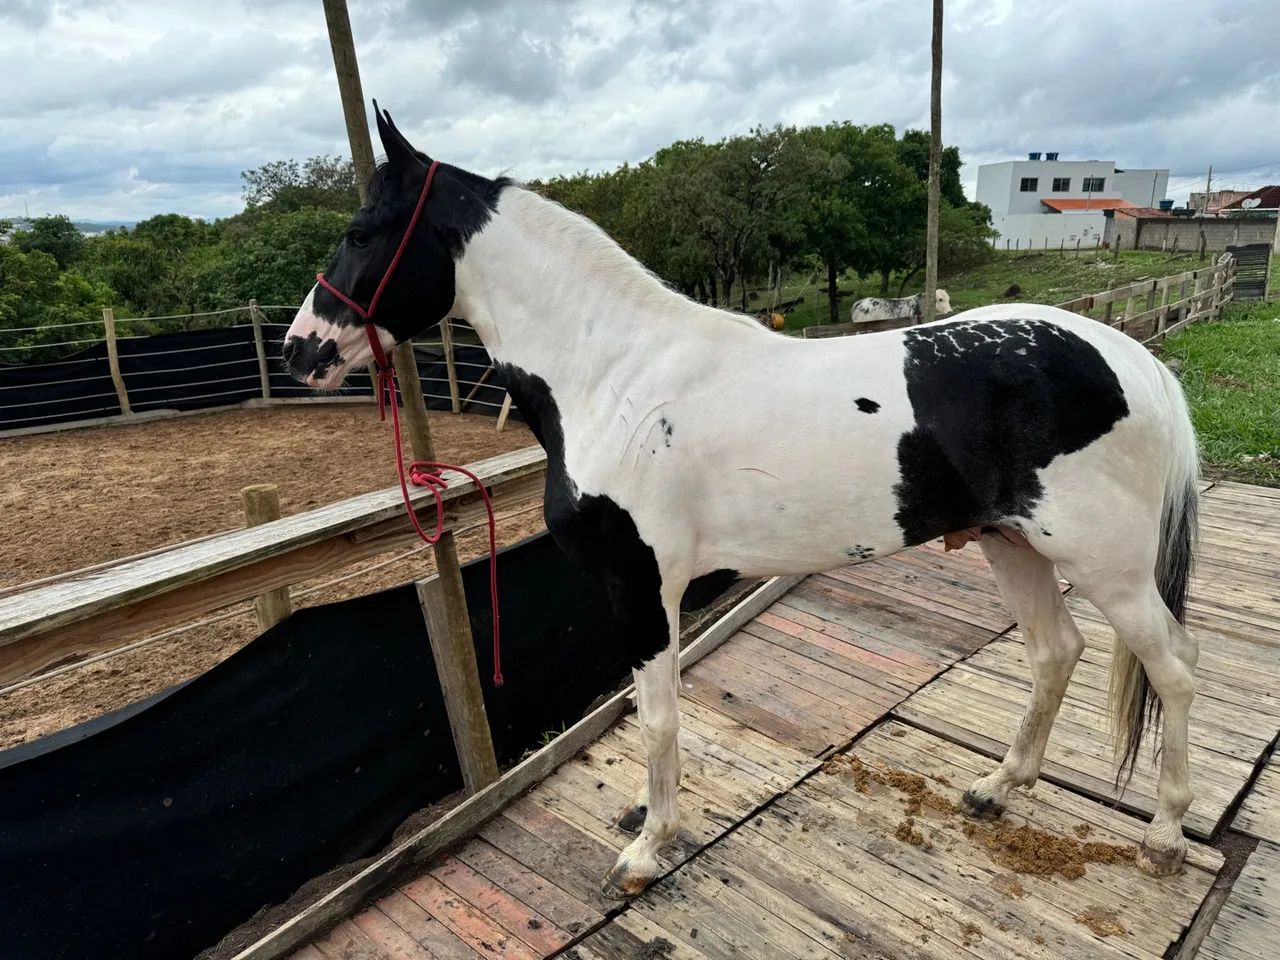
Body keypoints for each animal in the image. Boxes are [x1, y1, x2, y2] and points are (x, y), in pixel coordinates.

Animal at [284, 108, 1200, 899]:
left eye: (360, 232)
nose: (301, 351)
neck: (616, 376)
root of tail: (1131, 359)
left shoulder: (641, 585)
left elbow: (656, 717)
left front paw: (648, 850)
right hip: (1009, 542)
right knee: (1056, 654)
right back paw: (996, 789)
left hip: (1107, 566)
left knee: (1176, 668)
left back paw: (1162, 836)